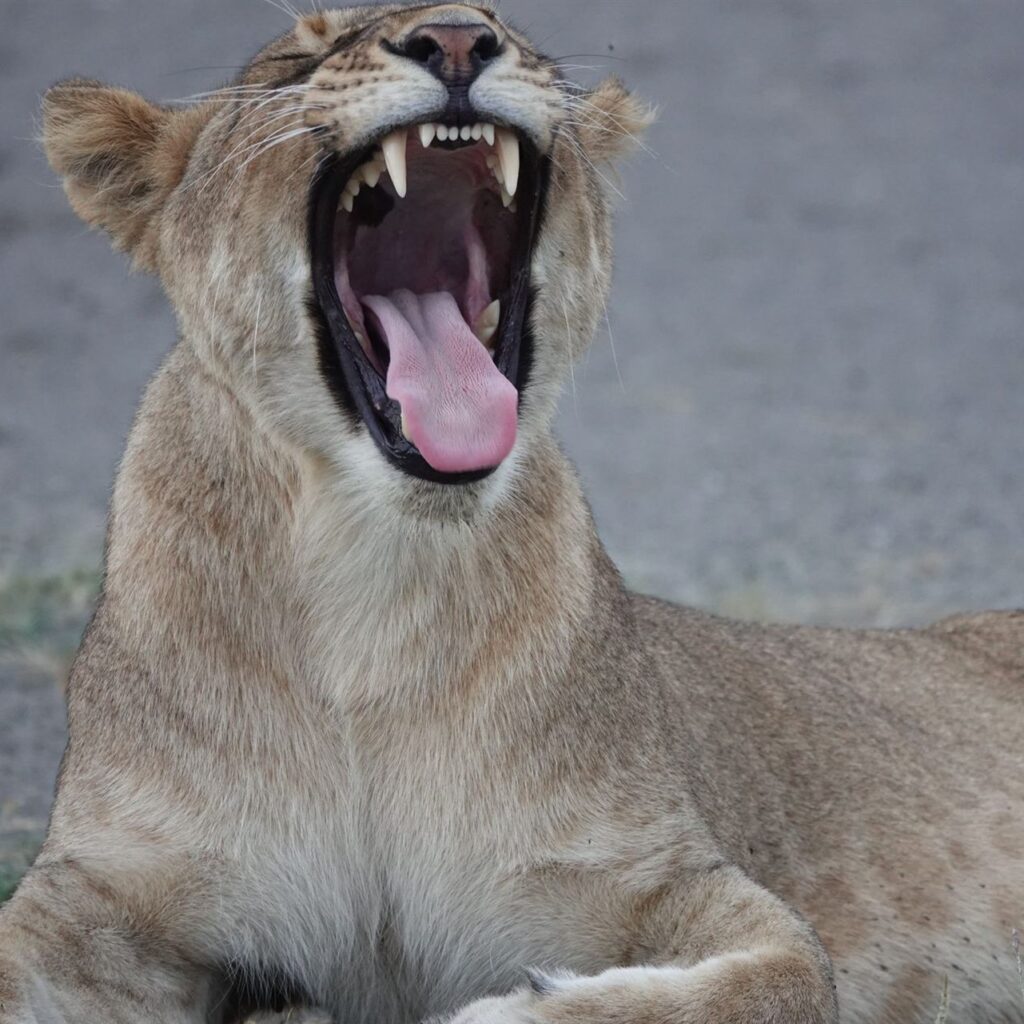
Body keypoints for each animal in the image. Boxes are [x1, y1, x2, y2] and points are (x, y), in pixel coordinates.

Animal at [0, 4, 1020, 1023]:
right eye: (302, 51)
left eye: (506, 29)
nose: (456, 39)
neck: (371, 576)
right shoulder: (106, 887)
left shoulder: (667, 873)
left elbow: (786, 976)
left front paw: (508, 1007)